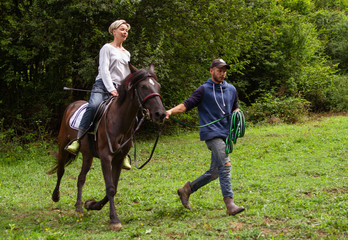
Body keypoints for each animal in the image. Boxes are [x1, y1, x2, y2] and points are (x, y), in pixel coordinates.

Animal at [48, 63, 167, 231]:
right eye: (143, 86)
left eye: (158, 86)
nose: (160, 114)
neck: (119, 121)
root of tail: (72, 105)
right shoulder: (106, 157)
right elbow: (110, 187)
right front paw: (114, 220)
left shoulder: (118, 158)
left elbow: (114, 187)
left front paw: (92, 204)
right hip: (62, 146)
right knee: (60, 171)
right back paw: (55, 196)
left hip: (88, 155)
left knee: (81, 178)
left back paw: (78, 207)